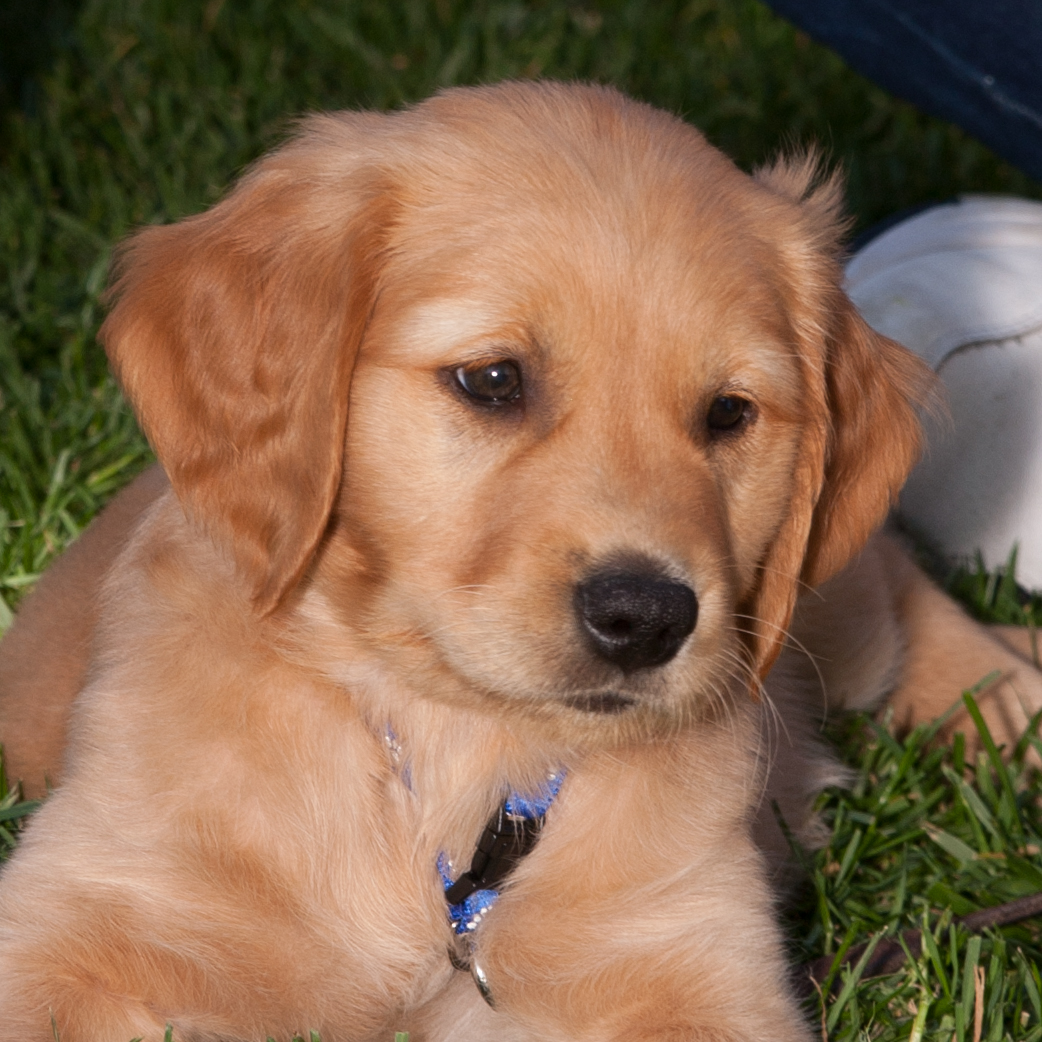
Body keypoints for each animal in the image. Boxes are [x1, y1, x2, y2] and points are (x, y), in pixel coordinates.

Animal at [0, 83, 1033, 1042]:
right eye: (493, 379)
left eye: (729, 413)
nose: (645, 618)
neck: (449, 748)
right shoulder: (89, 906)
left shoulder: (691, 952)